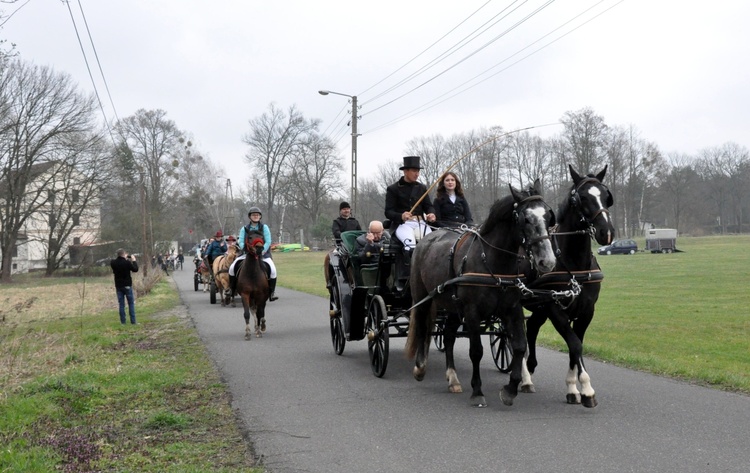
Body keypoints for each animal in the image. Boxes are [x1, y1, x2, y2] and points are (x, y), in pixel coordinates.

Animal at [406, 181, 560, 406]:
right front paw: (477, 391)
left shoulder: (512, 309)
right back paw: (419, 367)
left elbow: (519, 346)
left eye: (549, 216)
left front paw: (511, 388)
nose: (547, 261)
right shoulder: (472, 312)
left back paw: (452, 378)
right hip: (422, 297)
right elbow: (476, 351)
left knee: (449, 335)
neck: (493, 261)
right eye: (525, 218)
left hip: (453, 306)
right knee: (422, 328)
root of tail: (426, 239)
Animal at [524, 165, 616, 406]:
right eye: (581, 198)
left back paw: (530, 366)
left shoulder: (586, 310)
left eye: (606, 196)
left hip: (539, 307)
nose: (606, 232)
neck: (573, 265)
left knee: (531, 327)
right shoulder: (556, 309)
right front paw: (586, 389)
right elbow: (575, 344)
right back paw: (525, 377)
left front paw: (574, 388)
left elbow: (576, 345)